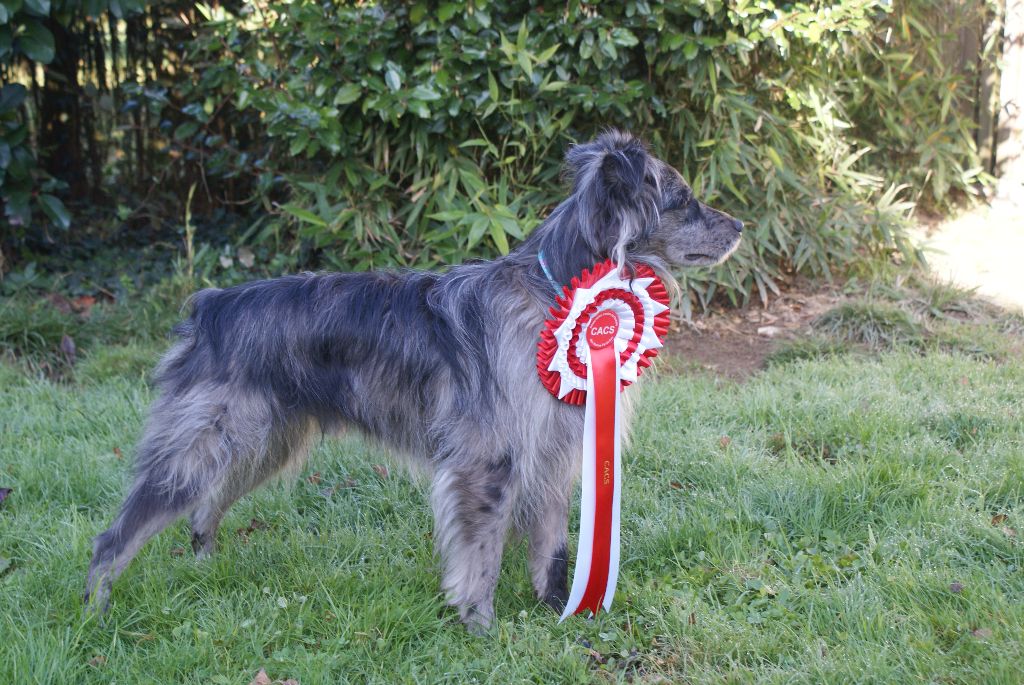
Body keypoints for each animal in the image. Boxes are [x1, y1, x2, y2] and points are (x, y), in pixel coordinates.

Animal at [83, 127, 741, 630]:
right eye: (683, 199)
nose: (738, 227)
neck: (558, 294)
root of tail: (211, 307)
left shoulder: (555, 452)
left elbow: (552, 544)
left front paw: (560, 608)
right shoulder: (488, 462)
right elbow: (482, 554)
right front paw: (481, 625)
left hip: (264, 442)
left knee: (205, 512)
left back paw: (206, 571)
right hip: (206, 444)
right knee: (119, 533)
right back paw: (95, 611)